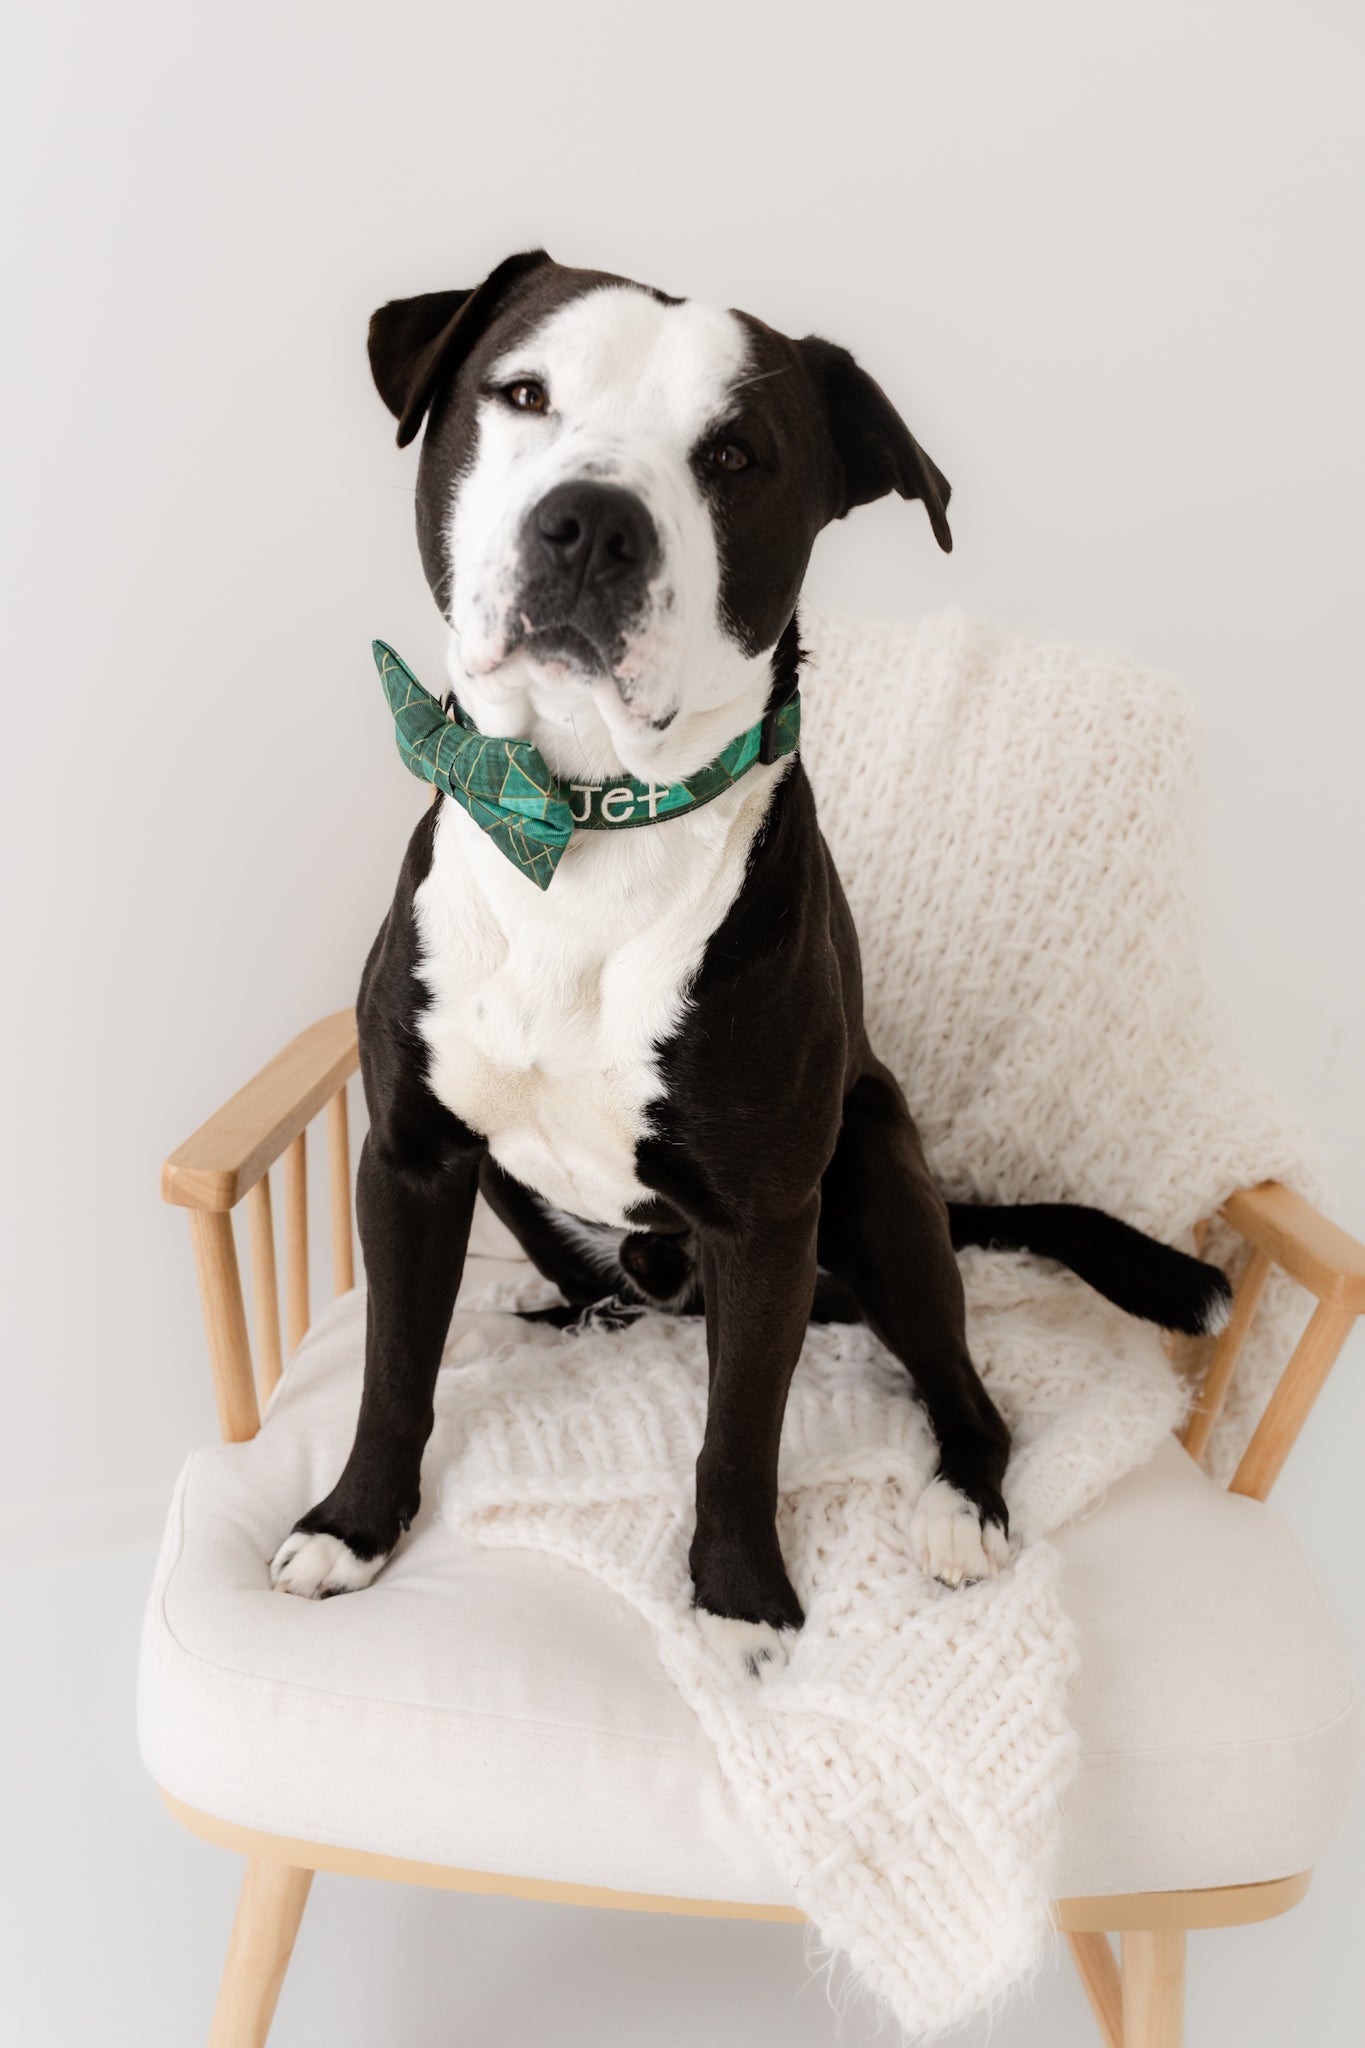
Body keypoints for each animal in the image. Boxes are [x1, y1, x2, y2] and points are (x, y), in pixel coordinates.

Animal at [269, 251, 1232, 1677]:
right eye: (522, 391)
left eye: (734, 454)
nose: (590, 524)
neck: (588, 818)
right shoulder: (412, 1156)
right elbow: (394, 1368)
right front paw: (354, 1522)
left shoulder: (766, 1223)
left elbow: (739, 1438)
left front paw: (736, 1601)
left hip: (877, 1180)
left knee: (967, 1389)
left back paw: (962, 1504)